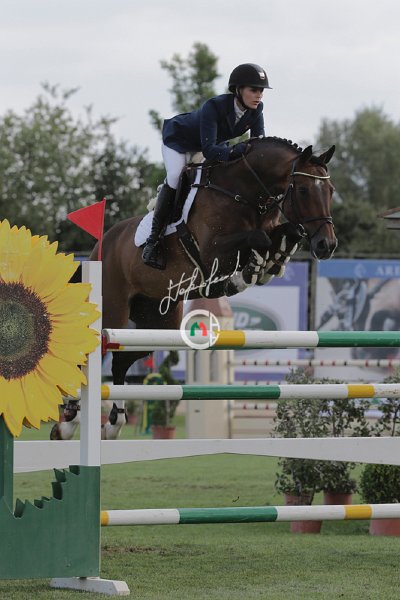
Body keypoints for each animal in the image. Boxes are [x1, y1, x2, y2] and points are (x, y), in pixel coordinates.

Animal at [57, 136, 337, 439]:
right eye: (304, 190)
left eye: (330, 190)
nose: (327, 245)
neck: (244, 193)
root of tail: (99, 247)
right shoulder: (213, 251)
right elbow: (259, 238)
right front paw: (246, 274)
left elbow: (283, 235)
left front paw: (271, 262)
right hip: (113, 313)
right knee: (87, 355)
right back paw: (68, 419)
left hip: (158, 323)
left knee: (120, 362)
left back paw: (113, 422)